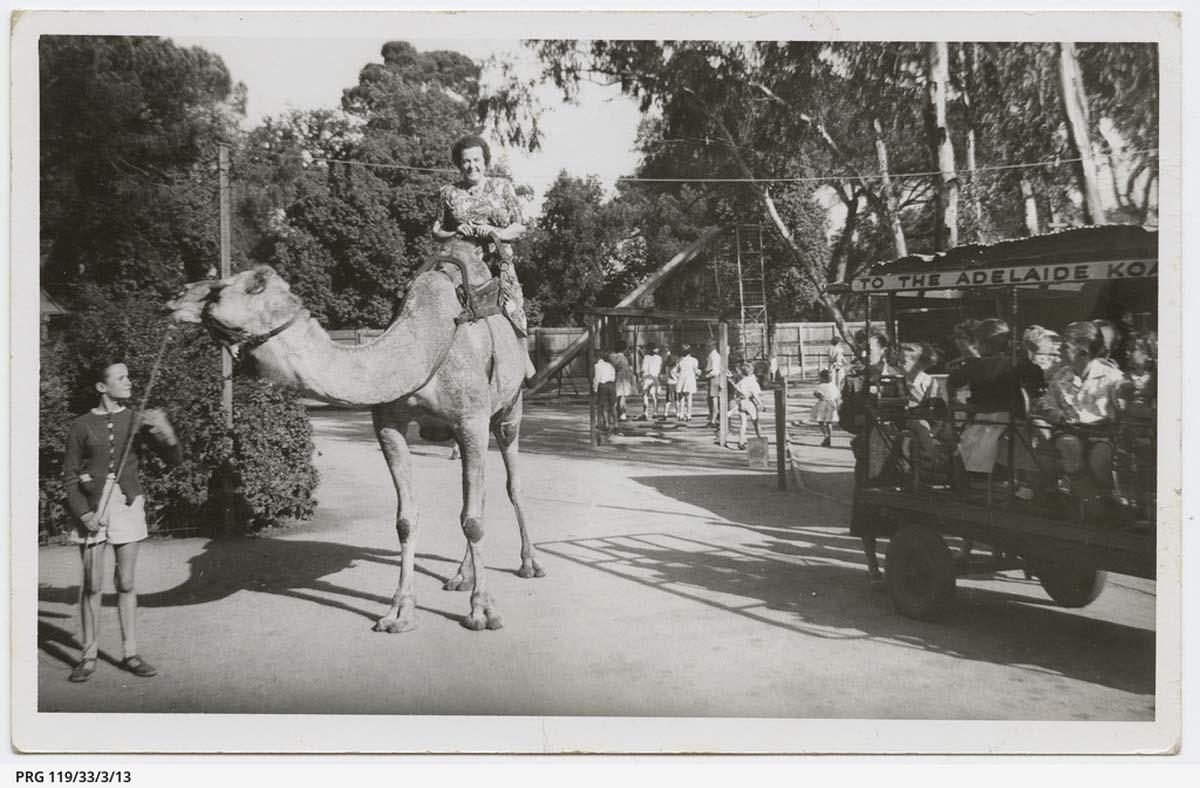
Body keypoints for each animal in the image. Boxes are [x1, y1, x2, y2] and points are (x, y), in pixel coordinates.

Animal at [166, 242, 547, 628]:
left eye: (227, 289)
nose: (177, 296)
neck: (419, 350)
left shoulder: (471, 419)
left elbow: (473, 521)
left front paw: (483, 610)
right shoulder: (389, 424)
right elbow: (408, 520)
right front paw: (398, 613)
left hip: (508, 411)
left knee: (511, 484)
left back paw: (529, 564)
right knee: (475, 497)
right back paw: (460, 575)